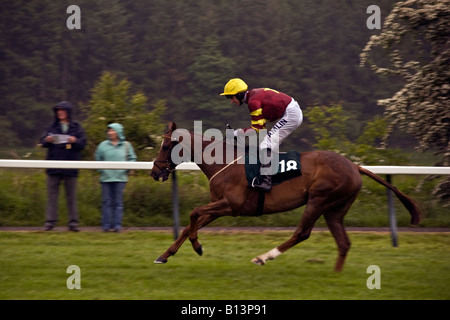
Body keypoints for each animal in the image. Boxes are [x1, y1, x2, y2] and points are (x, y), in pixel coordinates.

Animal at [151, 121, 422, 272]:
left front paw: (198, 247)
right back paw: (336, 275)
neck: (224, 161)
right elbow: (190, 224)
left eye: (166, 146)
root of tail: (354, 166)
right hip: (335, 209)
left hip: (319, 199)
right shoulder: (218, 205)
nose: (154, 172)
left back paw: (263, 258)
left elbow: (193, 214)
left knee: (302, 233)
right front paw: (165, 255)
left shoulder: (230, 205)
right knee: (343, 242)